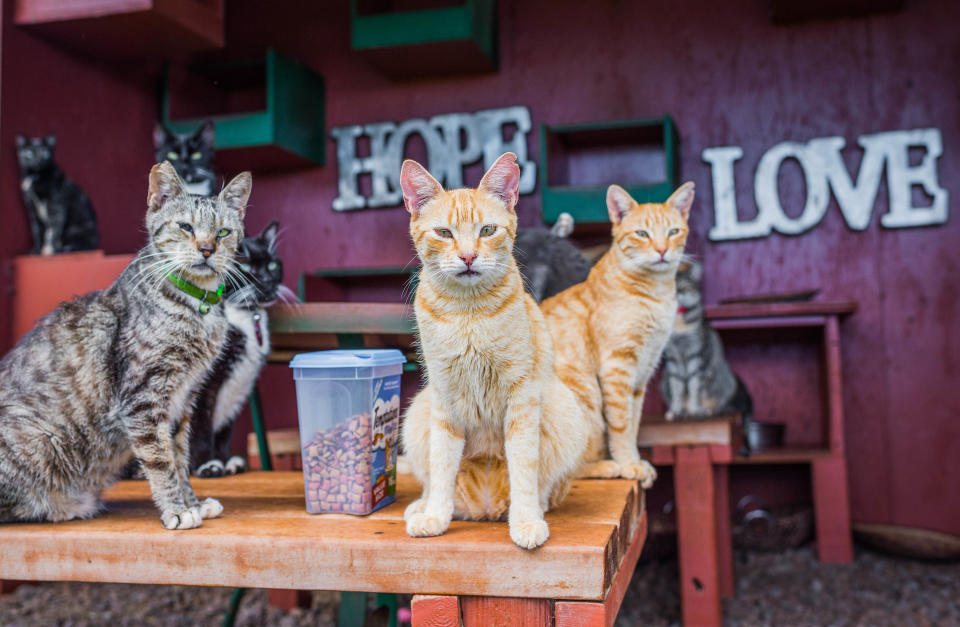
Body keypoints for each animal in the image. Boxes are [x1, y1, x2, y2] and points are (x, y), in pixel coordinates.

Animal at [0, 162, 251, 528]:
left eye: (222, 232)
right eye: (186, 226)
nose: (207, 249)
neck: (196, 306)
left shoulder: (183, 401)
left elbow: (180, 457)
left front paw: (191, 501)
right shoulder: (144, 396)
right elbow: (160, 460)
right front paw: (177, 509)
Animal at [189, 220, 288, 476]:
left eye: (272, 264)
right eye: (244, 266)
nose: (268, 280)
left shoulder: (239, 387)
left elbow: (225, 431)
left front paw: (227, 461)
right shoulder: (201, 387)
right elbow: (199, 428)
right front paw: (207, 465)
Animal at [398, 152, 584, 548]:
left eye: (487, 231)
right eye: (444, 233)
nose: (468, 257)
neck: (467, 312)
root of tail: (483, 507)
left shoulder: (522, 398)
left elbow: (524, 467)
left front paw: (526, 521)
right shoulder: (443, 399)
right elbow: (441, 466)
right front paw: (436, 516)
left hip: (564, 408)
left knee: (545, 486)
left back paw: (533, 509)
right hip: (418, 410)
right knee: (434, 482)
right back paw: (423, 508)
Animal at [540, 182, 688, 486]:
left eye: (673, 232)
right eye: (642, 234)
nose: (662, 250)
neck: (657, 293)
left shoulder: (643, 371)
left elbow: (633, 423)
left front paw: (636, 461)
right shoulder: (617, 366)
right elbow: (620, 425)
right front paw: (628, 464)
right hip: (585, 396)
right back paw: (607, 467)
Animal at [656, 262, 752, 444]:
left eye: (684, 286)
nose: (676, 293)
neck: (678, 327)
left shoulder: (697, 355)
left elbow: (695, 386)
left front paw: (695, 409)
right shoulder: (672, 359)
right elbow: (677, 387)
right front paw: (676, 409)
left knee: (718, 404)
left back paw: (705, 410)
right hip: (663, 383)